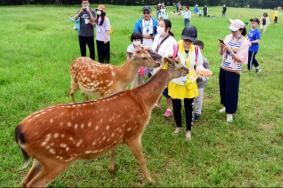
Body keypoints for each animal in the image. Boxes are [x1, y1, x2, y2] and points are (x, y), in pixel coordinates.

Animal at [15, 57, 189, 187]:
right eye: (179, 65)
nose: (188, 70)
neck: (143, 102)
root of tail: (19, 131)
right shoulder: (133, 133)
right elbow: (142, 159)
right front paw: (151, 180)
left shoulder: (117, 134)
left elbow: (113, 149)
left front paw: (112, 168)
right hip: (56, 160)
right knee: (33, 184)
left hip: (40, 159)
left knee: (24, 181)